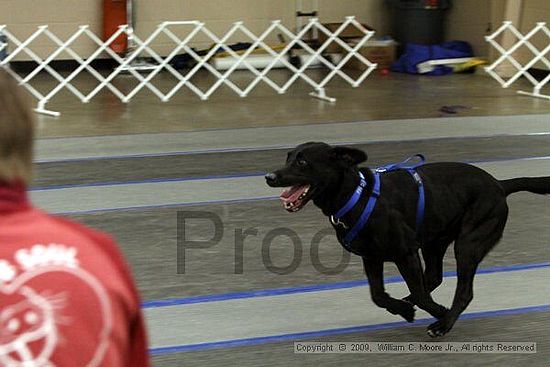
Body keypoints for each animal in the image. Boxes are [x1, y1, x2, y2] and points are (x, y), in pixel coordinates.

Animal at [266, 142, 550, 338]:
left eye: (303, 162)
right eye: (288, 157)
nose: (269, 177)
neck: (355, 195)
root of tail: (500, 185)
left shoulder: (405, 253)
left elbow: (422, 295)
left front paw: (438, 313)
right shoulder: (372, 257)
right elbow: (378, 295)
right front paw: (403, 309)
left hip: (468, 244)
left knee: (461, 291)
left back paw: (443, 324)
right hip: (435, 241)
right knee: (432, 278)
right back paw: (406, 303)